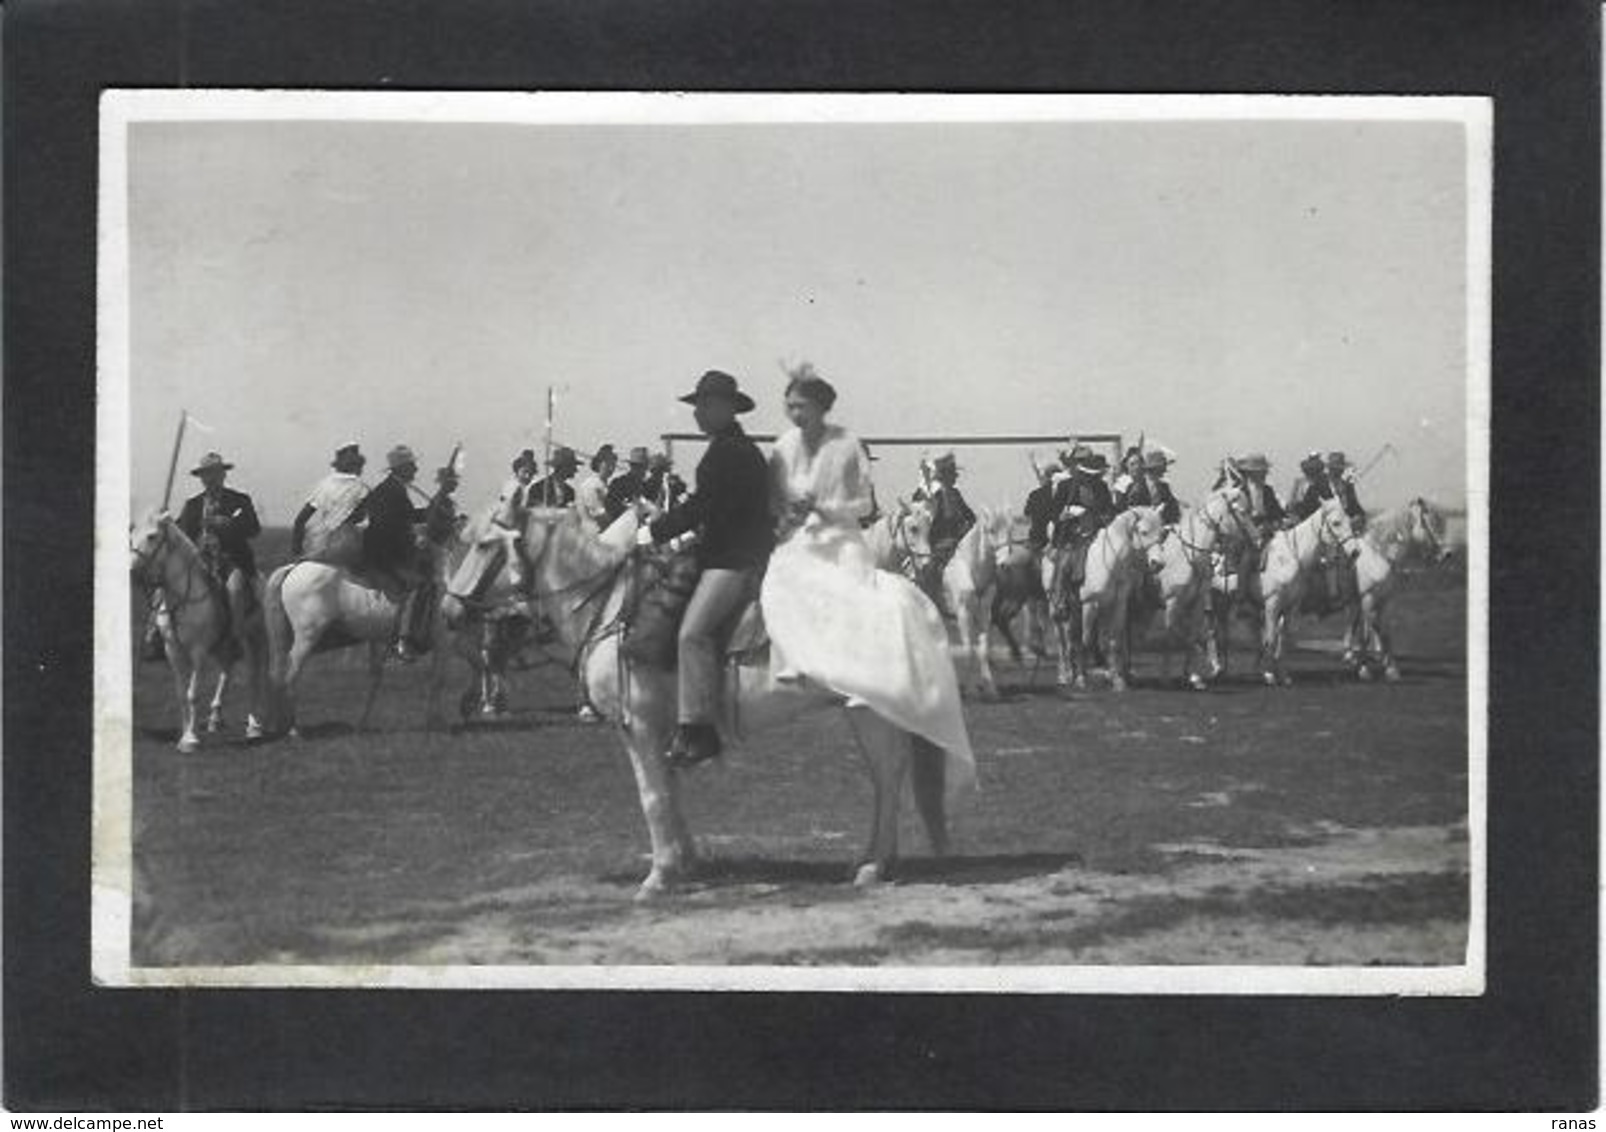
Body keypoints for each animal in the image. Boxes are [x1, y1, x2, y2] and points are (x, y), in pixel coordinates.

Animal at [131, 513, 266, 751]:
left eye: (152, 536)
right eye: (131, 534)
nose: (129, 571)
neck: (183, 598)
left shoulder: (198, 651)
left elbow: (192, 694)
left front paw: (191, 739)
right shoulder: (172, 650)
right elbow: (181, 694)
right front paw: (185, 734)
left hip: (252, 640)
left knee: (253, 676)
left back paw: (254, 726)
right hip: (222, 646)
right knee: (226, 671)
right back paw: (215, 717)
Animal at [507, 507, 950, 899]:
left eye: (492, 544)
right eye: (914, 527)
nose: (931, 568)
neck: (614, 611)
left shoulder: (640, 725)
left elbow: (653, 796)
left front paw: (658, 876)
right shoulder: (662, 730)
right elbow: (669, 791)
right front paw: (685, 864)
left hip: (870, 712)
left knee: (887, 775)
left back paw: (873, 867)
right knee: (884, 776)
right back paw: (870, 861)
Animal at [1149, 484, 1259, 687]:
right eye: (1242, 512)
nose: (1257, 540)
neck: (1188, 556)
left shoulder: (1197, 603)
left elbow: (1192, 635)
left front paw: (1193, 675)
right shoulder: (1172, 602)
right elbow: (1171, 636)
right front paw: (1165, 677)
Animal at [1342, 497, 1458, 680]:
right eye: (1429, 523)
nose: (1448, 553)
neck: (1379, 556)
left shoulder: (1386, 600)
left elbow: (1385, 632)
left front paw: (1391, 668)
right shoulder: (1367, 599)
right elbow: (1366, 635)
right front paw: (1365, 668)